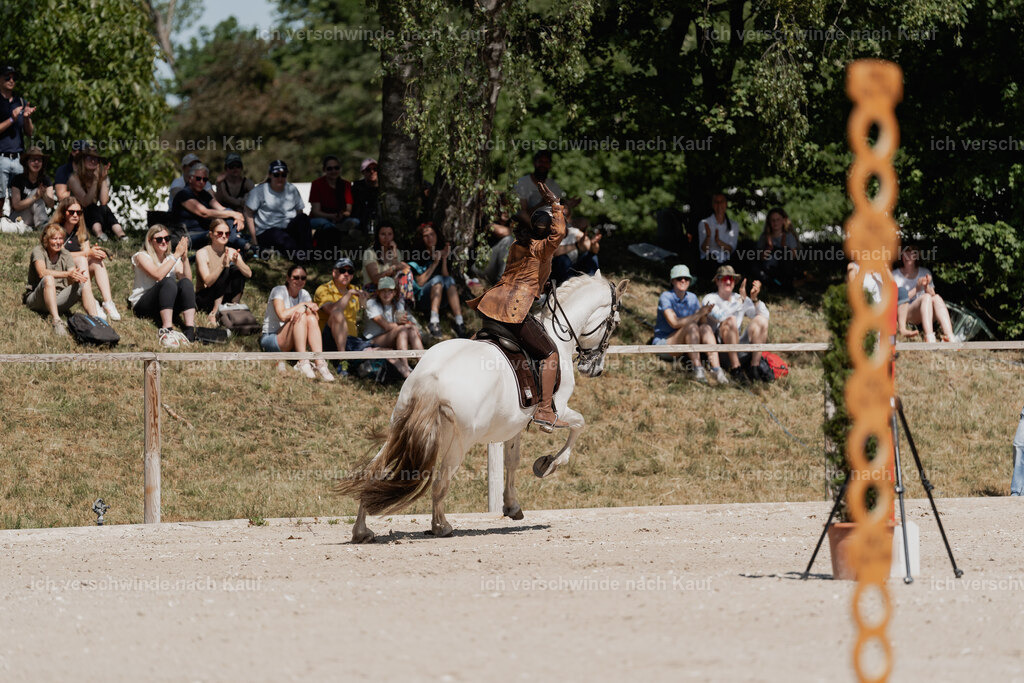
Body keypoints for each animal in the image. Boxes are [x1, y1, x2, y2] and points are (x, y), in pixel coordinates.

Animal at [336, 273, 628, 542]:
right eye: (615, 324)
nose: (594, 368)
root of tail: (432, 378)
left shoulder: (513, 425)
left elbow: (512, 461)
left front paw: (512, 505)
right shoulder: (560, 411)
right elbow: (580, 424)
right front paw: (548, 464)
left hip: (399, 427)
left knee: (372, 472)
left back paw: (362, 530)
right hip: (457, 444)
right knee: (440, 484)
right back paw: (441, 527)